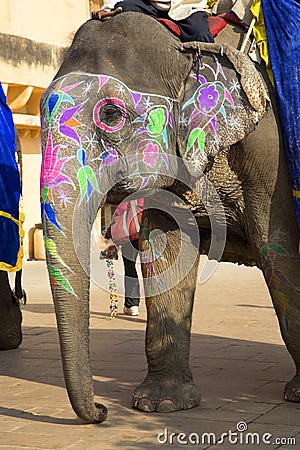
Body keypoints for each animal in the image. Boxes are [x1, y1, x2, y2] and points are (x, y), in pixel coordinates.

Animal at [40, 12, 300, 424]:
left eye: (111, 115)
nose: (100, 410)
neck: (186, 47)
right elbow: (166, 253)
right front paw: (161, 404)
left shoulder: (270, 150)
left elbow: (278, 250)